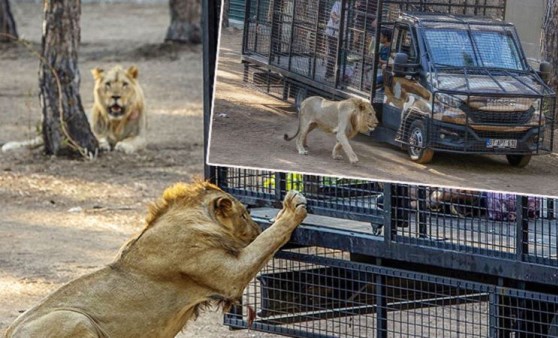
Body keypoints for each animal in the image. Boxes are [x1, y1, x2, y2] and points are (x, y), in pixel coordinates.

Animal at [5, 182, 310, 338]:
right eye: (245, 214)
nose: (256, 227)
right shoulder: (229, 275)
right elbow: (268, 240)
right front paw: (291, 207)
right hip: (76, 319)